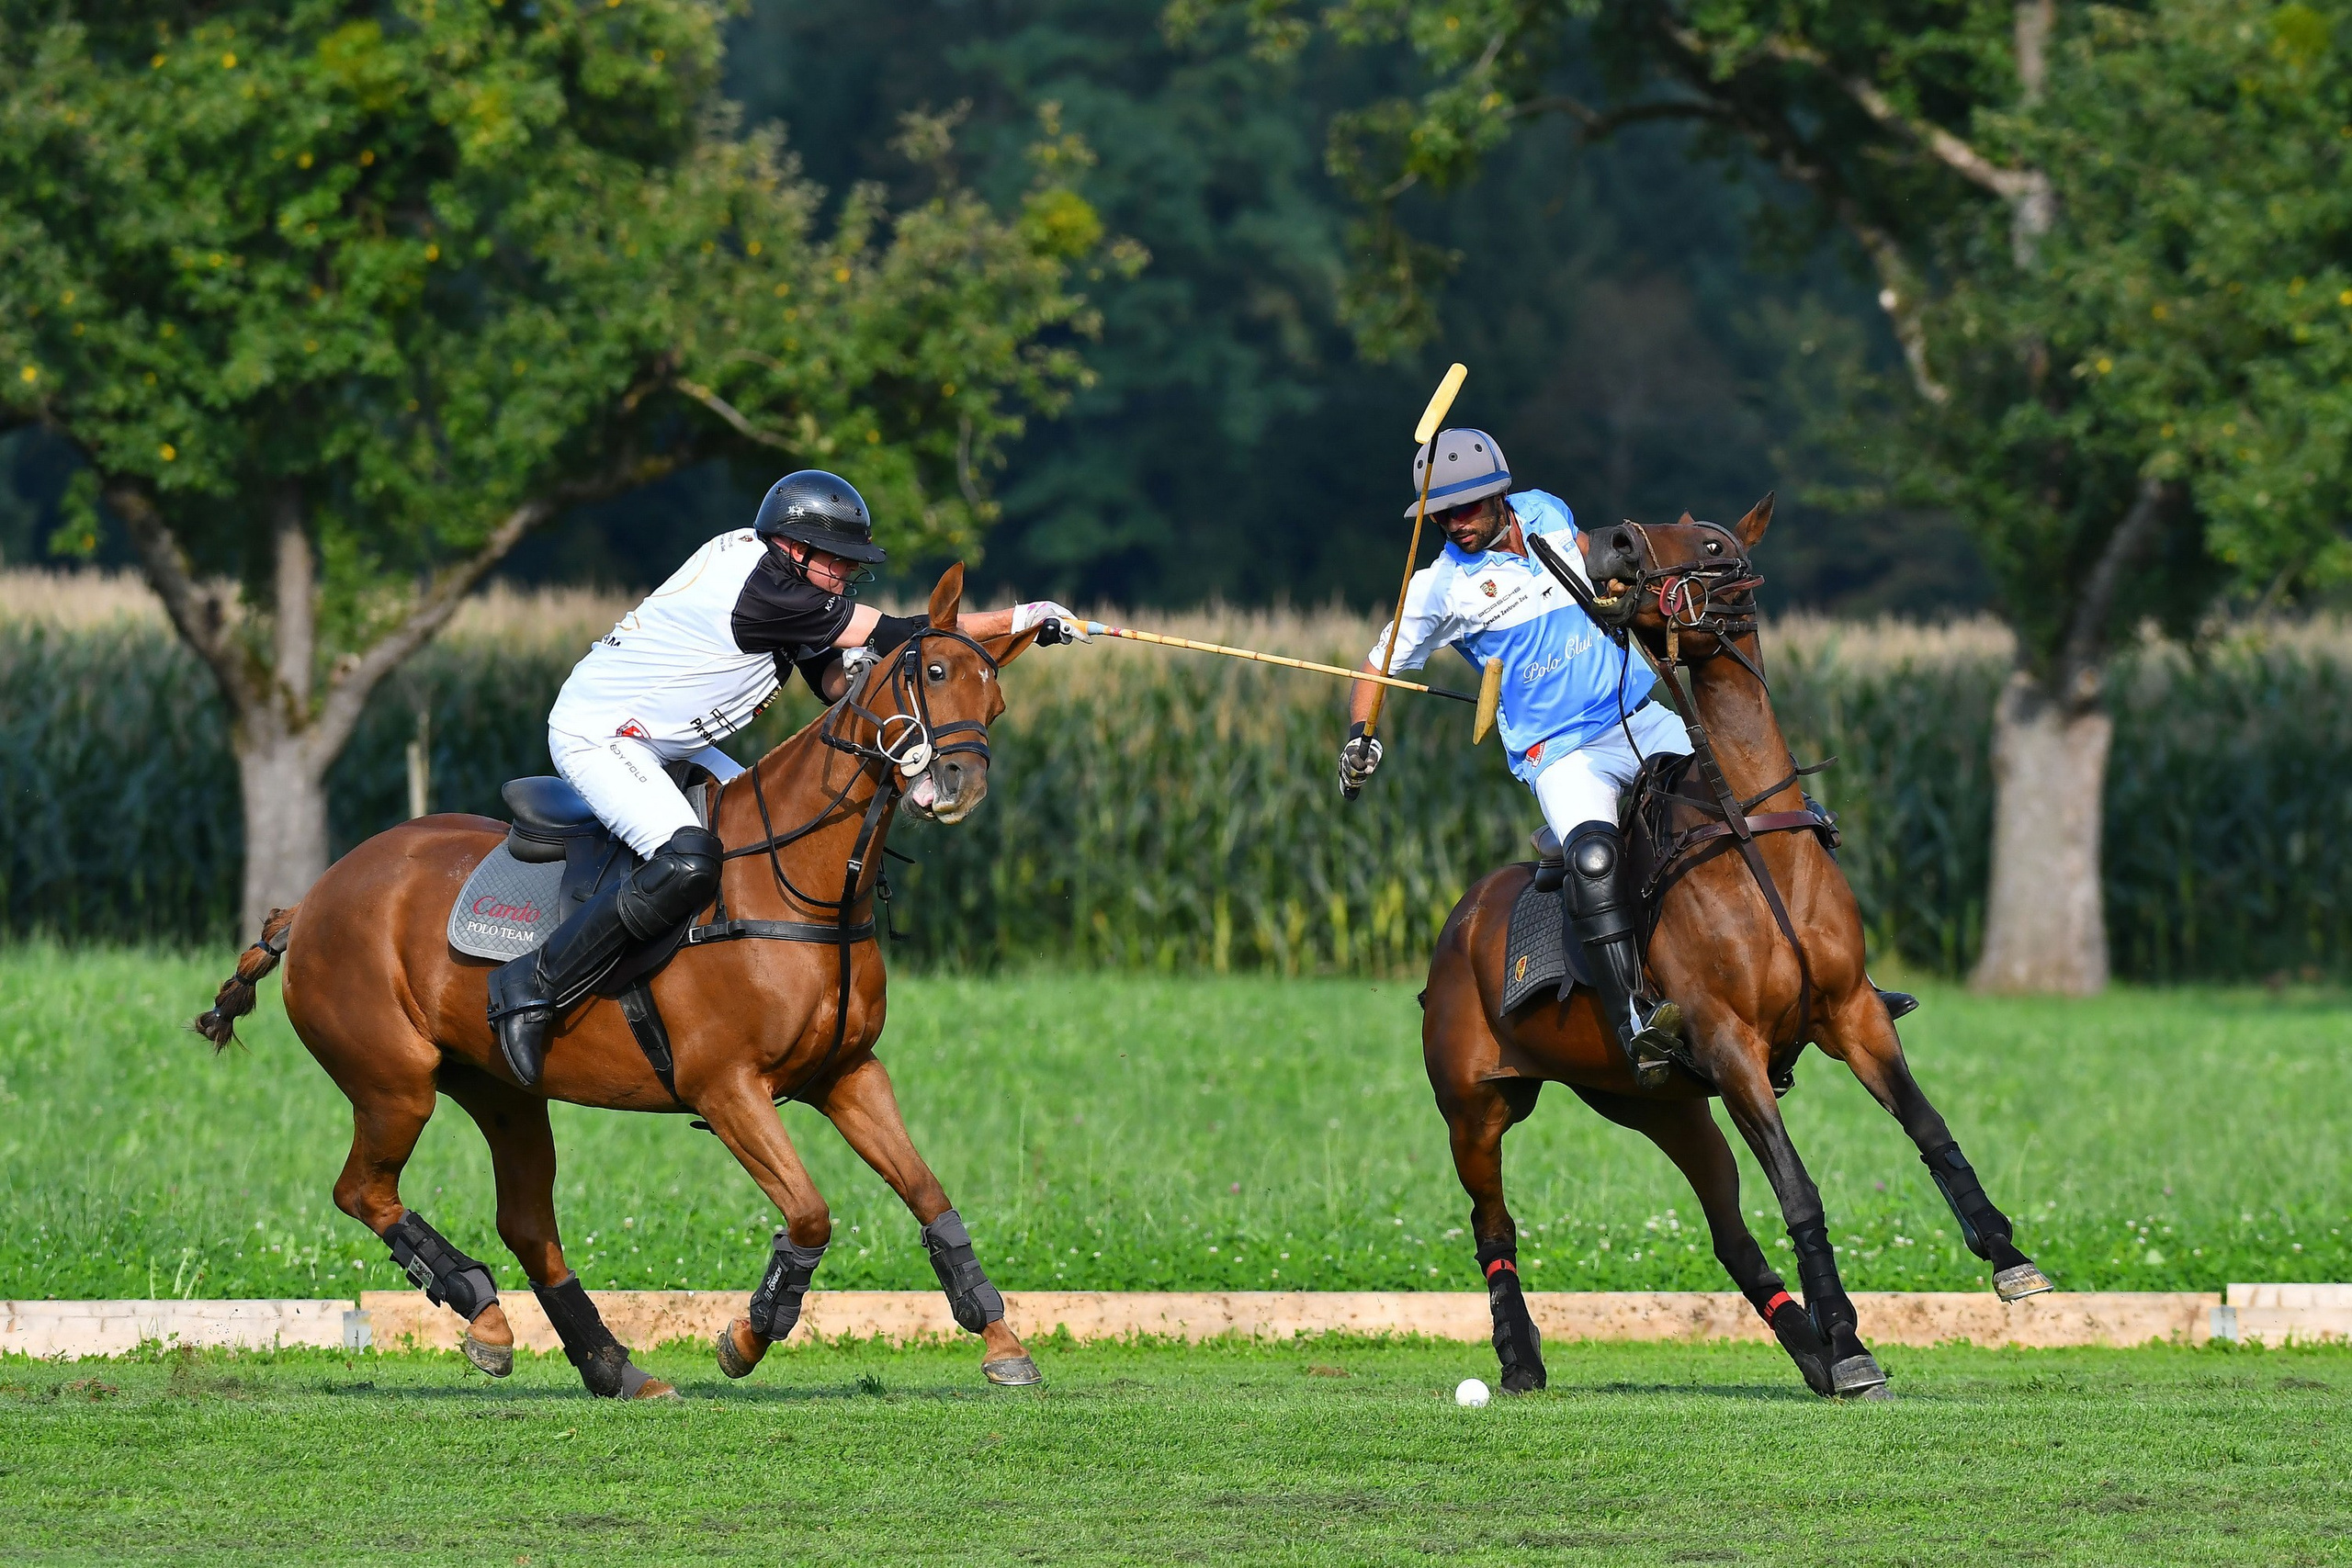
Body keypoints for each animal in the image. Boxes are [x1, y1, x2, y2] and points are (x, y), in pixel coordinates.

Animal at [193, 565, 1046, 1398]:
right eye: (933, 672)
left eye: (996, 699)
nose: (960, 782)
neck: (800, 886)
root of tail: (310, 901)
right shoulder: (726, 1086)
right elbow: (808, 1215)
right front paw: (745, 1337)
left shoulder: (847, 1072)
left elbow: (930, 1195)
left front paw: (1002, 1341)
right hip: (393, 1083)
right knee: (364, 1192)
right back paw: (482, 1307)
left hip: (501, 1091)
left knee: (525, 1220)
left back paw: (609, 1364)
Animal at [1420, 496, 2052, 1400]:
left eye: (1716, 544)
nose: (1611, 543)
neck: (1751, 829)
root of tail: (1459, 919)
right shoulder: (1730, 1046)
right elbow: (1799, 1186)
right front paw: (1851, 1342)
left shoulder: (1854, 1013)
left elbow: (1928, 1127)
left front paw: (2007, 1257)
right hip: (1475, 1108)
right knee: (1492, 1224)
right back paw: (1520, 1359)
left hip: (1663, 1104)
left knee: (1727, 1228)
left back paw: (1809, 1350)